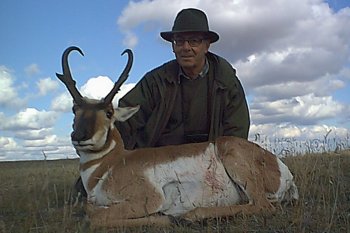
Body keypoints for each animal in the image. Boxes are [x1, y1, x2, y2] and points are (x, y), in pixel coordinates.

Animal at [56, 46, 298, 227]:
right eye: (74, 109)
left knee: (262, 206)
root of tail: (281, 167)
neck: (111, 164)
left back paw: (188, 216)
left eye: (108, 113)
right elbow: (89, 209)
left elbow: (94, 217)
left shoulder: (148, 198)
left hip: (232, 156)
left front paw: (165, 218)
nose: (79, 136)